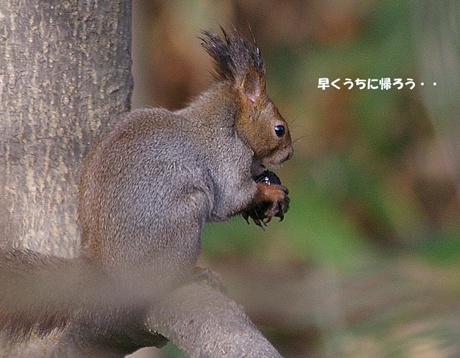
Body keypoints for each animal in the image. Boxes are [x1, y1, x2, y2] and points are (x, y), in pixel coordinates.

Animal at [0, 28, 292, 346]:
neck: (229, 122)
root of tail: (107, 272)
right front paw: (272, 192)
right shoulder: (227, 158)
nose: (290, 154)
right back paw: (194, 274)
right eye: (280, 129)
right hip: (184, 218)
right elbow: (233, 198)